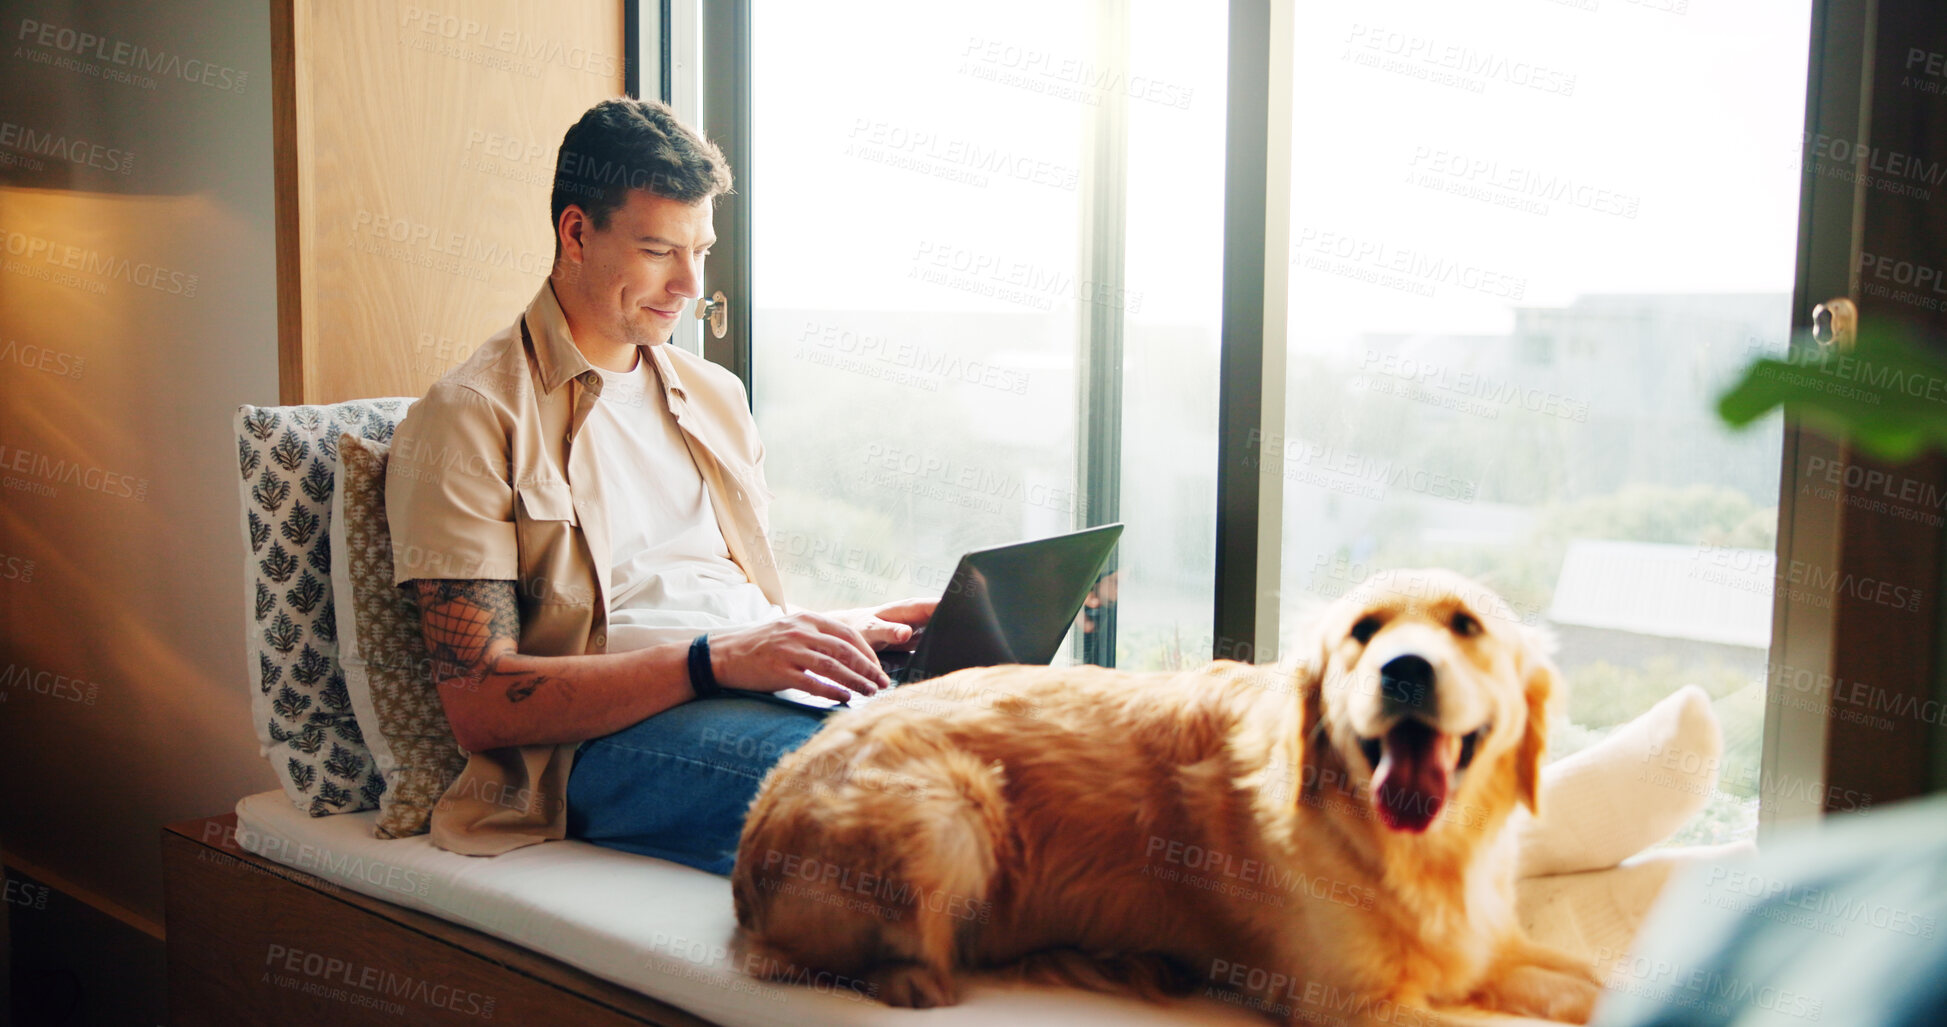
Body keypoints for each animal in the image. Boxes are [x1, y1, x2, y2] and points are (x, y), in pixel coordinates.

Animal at [732, 572, 1596, 1021]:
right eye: (1362, 630)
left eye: (1466, 625)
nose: (1404, 670)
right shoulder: (1353, 1003)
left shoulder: (1491, 946)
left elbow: (1589, 980)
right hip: (948, 809)